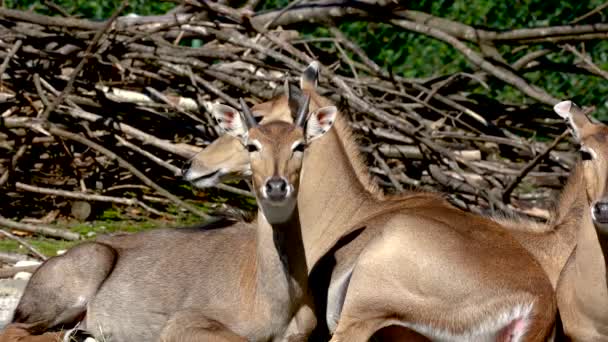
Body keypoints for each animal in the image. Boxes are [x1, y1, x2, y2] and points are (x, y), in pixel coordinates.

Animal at [0, 95, 338, 340]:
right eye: (251, 145)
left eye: (300, 145)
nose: (276, 186)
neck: (275, 301)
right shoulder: (183, 322)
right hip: (78, 279)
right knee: (16, 331)